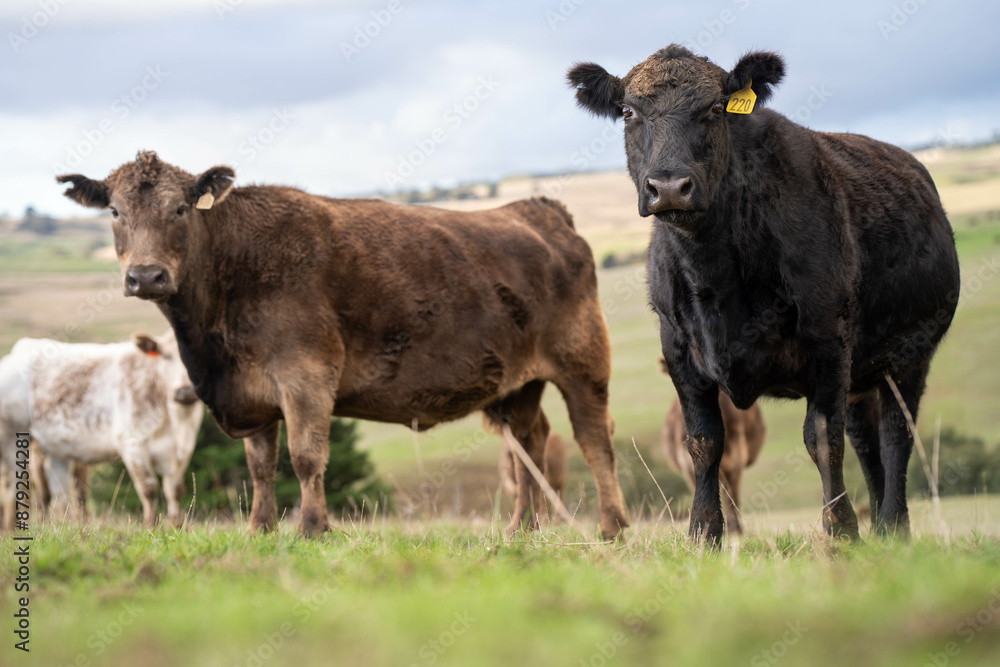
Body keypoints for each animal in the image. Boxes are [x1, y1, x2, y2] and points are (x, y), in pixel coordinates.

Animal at [0, 330, 203, 529]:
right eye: (165, 357)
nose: (185, 392)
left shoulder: (184, 450)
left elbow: (175, 489)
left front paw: (178, 527)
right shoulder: (132, 444)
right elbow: (149, 487)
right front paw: (151, 528)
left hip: (55, 448)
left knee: (60, 491)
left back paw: (65, 528)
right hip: (12, 436)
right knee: (15, 486)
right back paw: (11, 529)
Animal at [54, 151, 630, 540]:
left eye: (179, 209)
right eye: (114, 212)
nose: (146, 275)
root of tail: (537, 209)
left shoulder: (306, 372)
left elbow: (306, 456)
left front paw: (313, 528)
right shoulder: (252, 394)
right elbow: (260, 467)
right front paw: (260, 530)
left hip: (583, 363)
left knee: (594, 439)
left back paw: (611, 527)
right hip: (518, 382)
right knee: (529, 442)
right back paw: (521, 529)